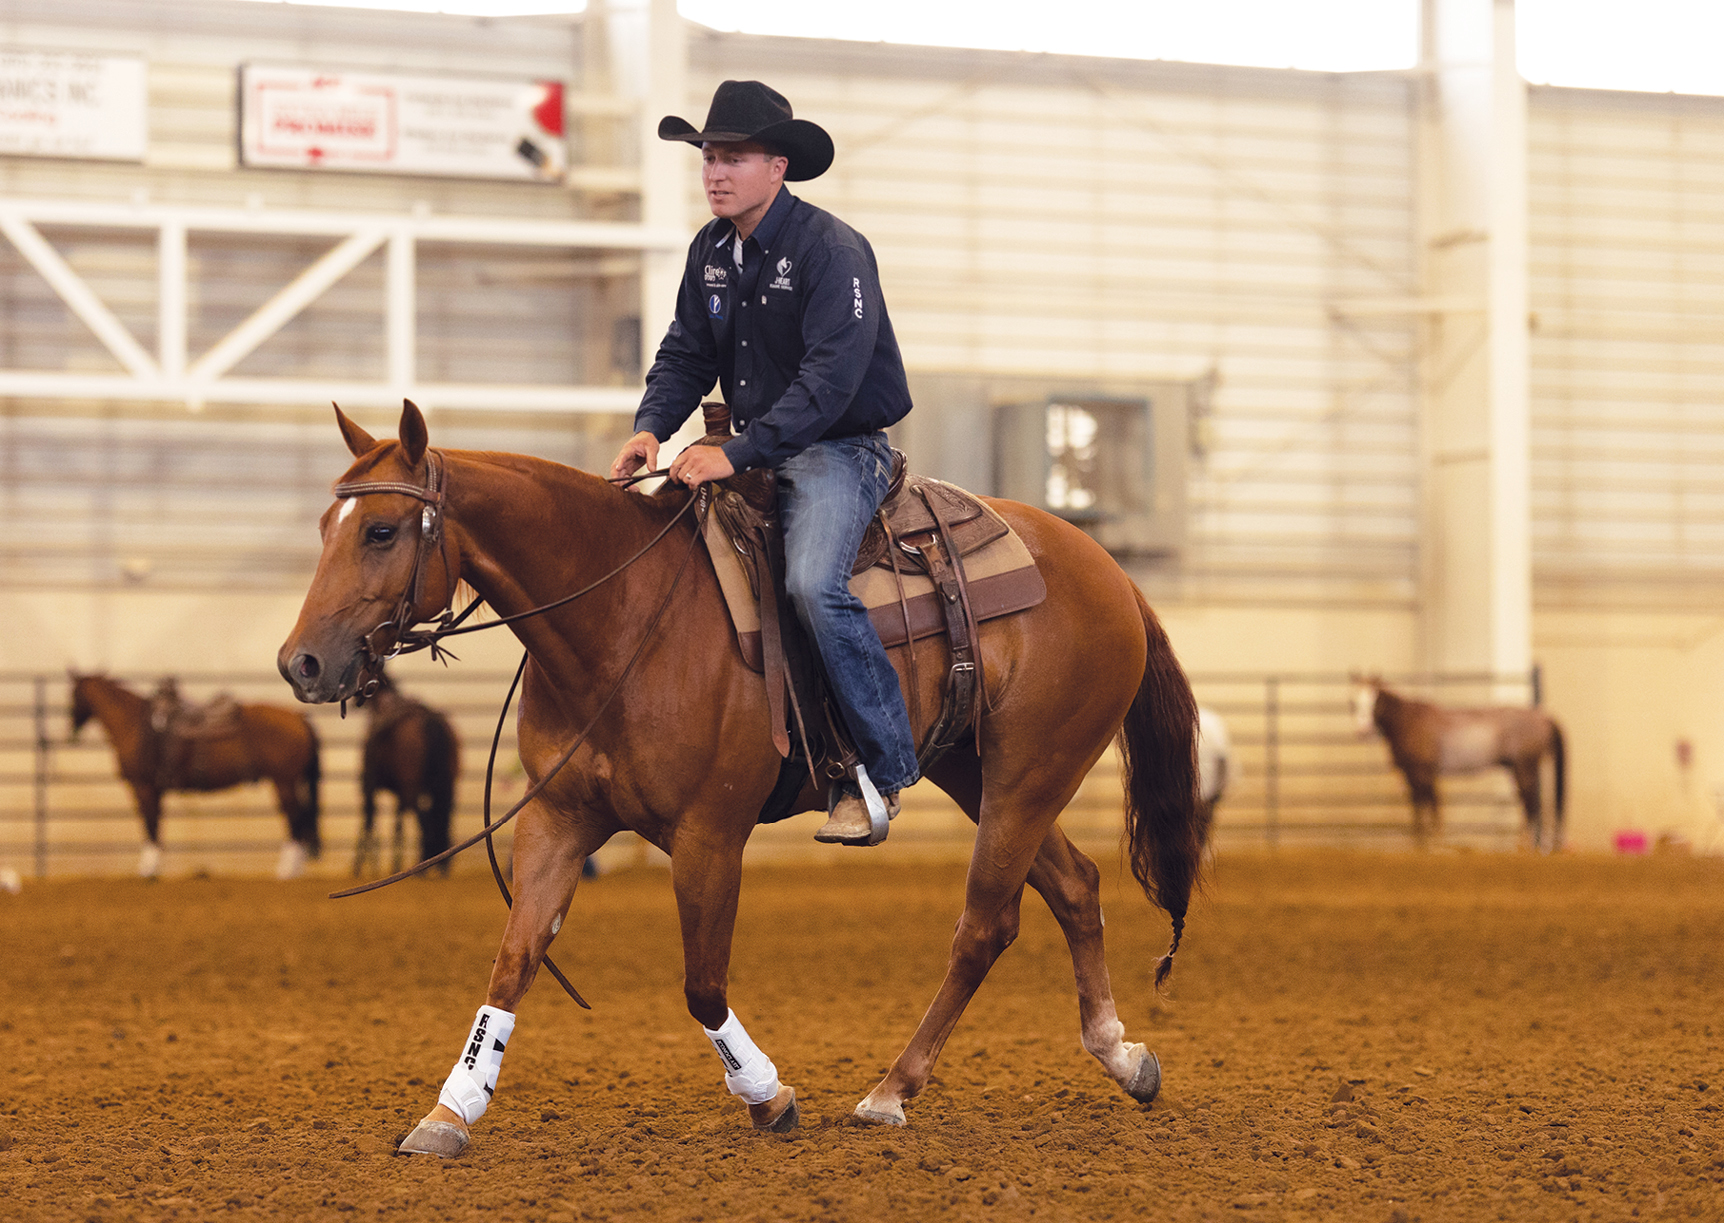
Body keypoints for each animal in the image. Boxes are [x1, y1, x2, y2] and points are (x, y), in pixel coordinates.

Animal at [68, 673, 323, 879]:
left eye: (73, 695)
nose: (72, 729)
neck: (134, 724)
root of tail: (300, 717)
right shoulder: (154, 789)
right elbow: (155, 821)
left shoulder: (144, 787)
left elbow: (150, 822)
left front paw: (148, 868)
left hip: (284, 782)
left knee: (294, 818)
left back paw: (287, 869)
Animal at [356, 671, 458, 877]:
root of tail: (427, 717)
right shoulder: (399, 795)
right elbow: (398, 824)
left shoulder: (370, 787)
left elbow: (369, 821)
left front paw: (362, 865)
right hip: (444, 786)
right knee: (440, 817)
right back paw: (438, 863)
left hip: (410, 788)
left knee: (424, 821)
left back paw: (424, 865)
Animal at [1352, 676, 1566, 851]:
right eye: (1353, 702)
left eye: (1375, 701)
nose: (1362, 730)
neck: (1408, 722)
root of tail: (1542, 717)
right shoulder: (1412, 775)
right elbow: (1419, 806)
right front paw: (1419, 842)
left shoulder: (1424, 773)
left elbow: (1431, 804)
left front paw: (1434, 841)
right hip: (1518, 769)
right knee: (1528, 802)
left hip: (1525, 768)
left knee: (1531, 803)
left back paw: (1527, 844)